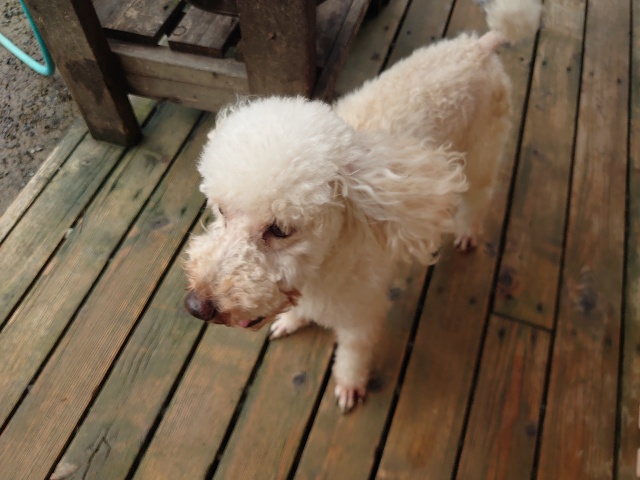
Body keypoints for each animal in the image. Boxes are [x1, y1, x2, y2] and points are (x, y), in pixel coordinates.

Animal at [183, 0, 542, 412]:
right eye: (221, 210)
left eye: (280, 230)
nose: (196, 306)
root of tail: (481, 45)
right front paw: (294, 320)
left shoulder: (360, 312)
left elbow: (354, 351)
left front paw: (349, 384)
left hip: (484, 148)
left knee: (479, 196)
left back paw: (468, 232)